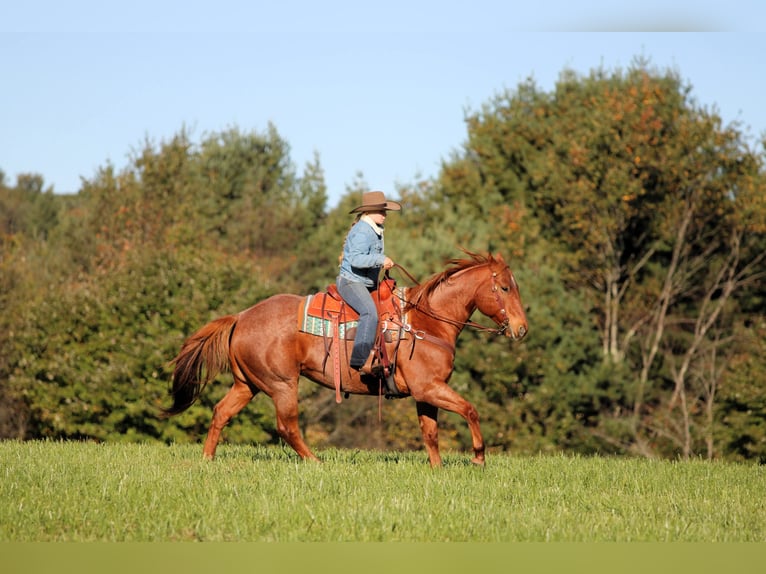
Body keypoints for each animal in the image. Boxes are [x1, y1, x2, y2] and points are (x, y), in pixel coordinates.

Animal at [160, 251, 528, 467]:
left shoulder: (427, 393)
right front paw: (479, 457)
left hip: (247, 384)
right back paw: (315, 462)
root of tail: (241, 316)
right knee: (287, 425)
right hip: (282, 384)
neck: (426, 321)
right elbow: (470, 410)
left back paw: (207, 460)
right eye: (505, 288)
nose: (521, 329)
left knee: (221, 412)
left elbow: (430, 433)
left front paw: (437, 470)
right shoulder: (430, 388)